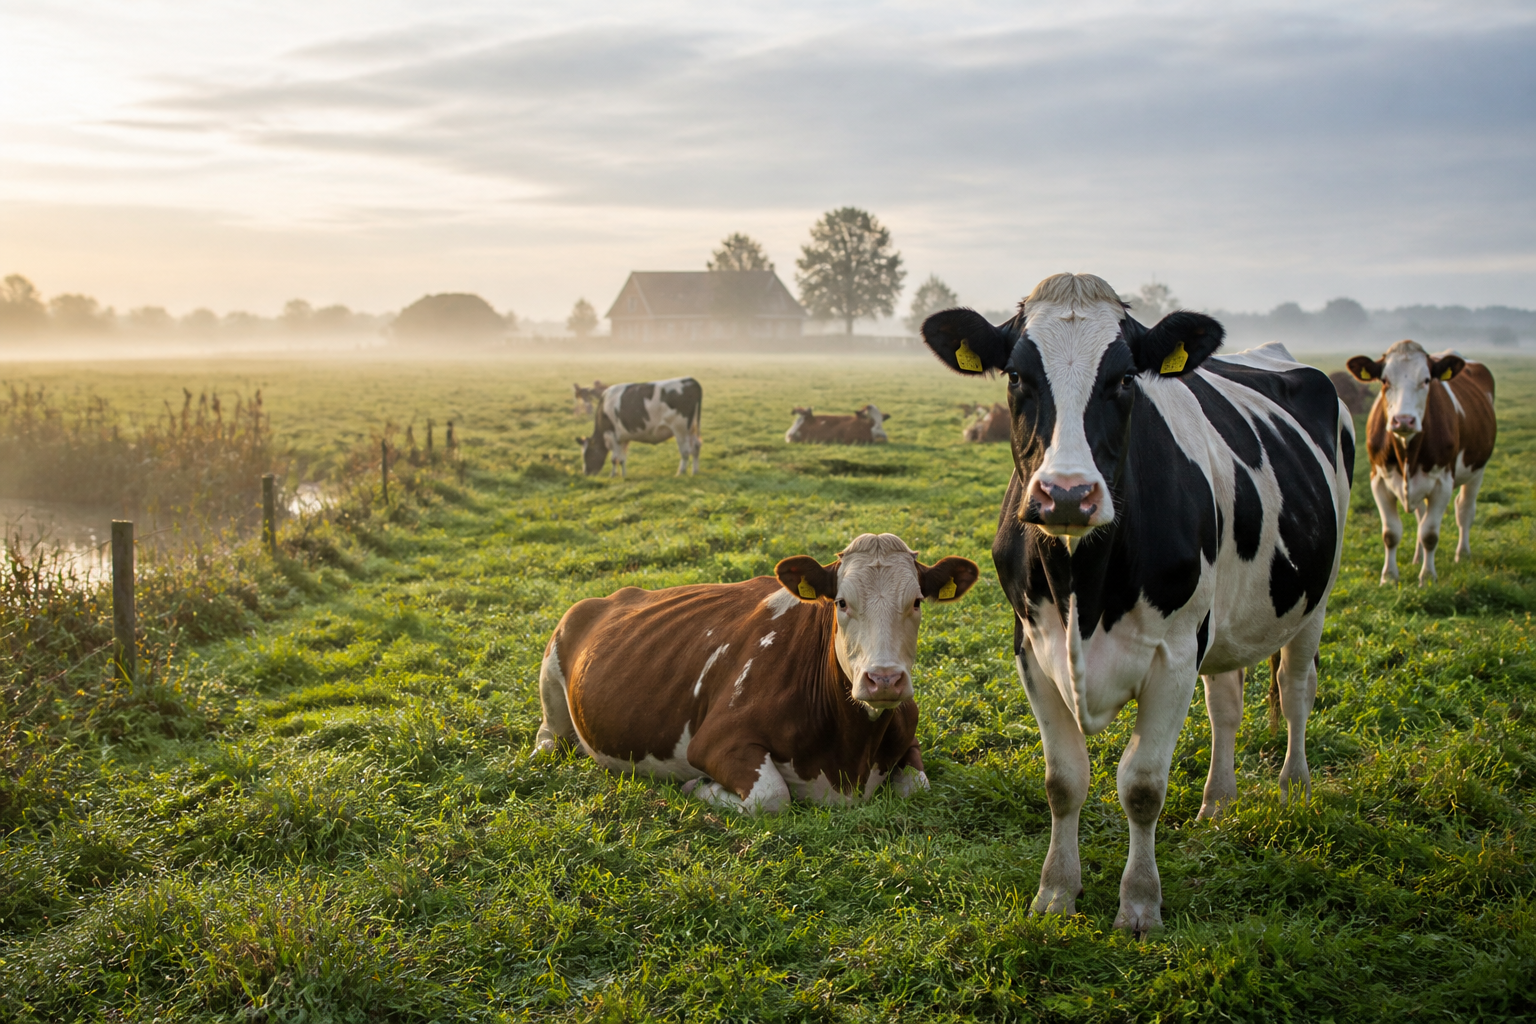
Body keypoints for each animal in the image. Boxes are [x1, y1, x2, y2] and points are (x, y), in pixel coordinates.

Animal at [534, 533, 980, 812]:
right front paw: (699, 786)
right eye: (841, 602)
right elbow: (771, 795)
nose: (884, 679)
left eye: (917, 601)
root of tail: (614, 596)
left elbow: (917, 785)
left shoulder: (908, 735)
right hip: (553, 673)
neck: (849, 759)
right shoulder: (715, 741)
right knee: (549, 737)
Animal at [922, 273, 1353, 937]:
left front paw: (1140, 903)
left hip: (1315, 600)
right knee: (1226, 706)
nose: (1065, 495)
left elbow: (1143, 786)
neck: (1084, 586)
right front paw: (1056, 891)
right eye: (1017, 375)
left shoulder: (1173, 653)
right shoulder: (1031, 647)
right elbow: (1063, 780)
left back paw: (1293, 787)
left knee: (1298, 688)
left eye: (1125, 378)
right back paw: (1216, 803)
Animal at [1345, 341, 1496, 585]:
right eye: (1384, 380)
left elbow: (1430, 534)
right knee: (1420, 516)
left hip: (1477, 469)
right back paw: (1417, 558)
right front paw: (1389, 577)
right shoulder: (1378, 479)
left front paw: (1427, 577)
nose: (1403, 420)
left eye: (1426, 380)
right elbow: (1391, 533)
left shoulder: (1442, 483)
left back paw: (1462, 554)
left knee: (1464, 509)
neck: (1407, 452)